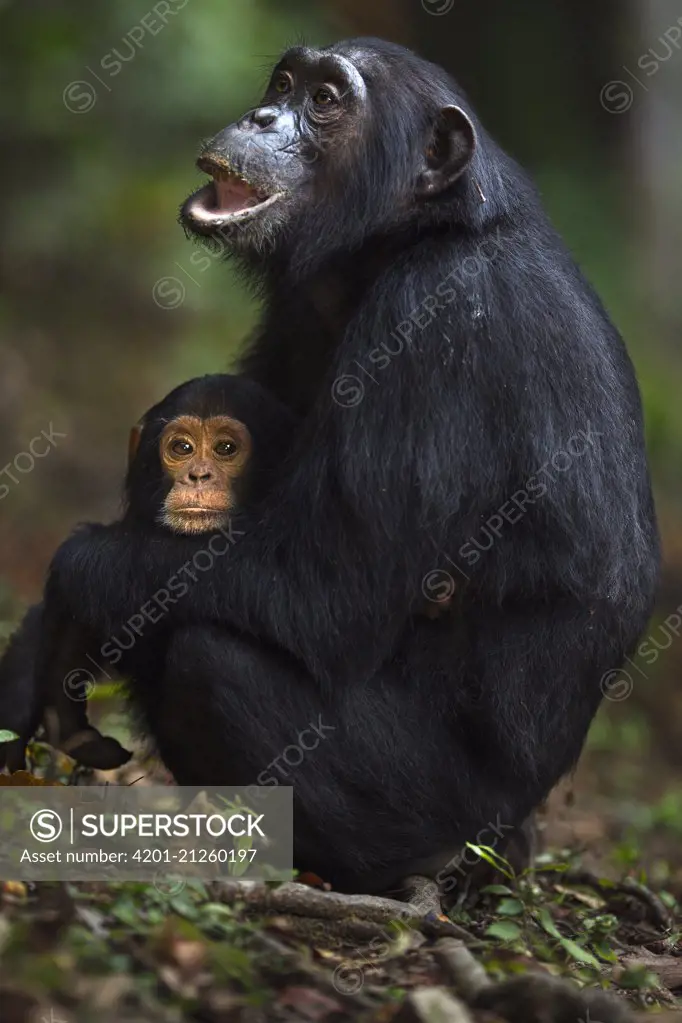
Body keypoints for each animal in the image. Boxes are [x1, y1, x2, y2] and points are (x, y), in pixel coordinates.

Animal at [30, 37, 654, 887]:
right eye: (284, 82)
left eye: (325, 101)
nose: (261, 115)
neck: (407, 236)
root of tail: (517, 837)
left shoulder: (436, 325)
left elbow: (324, 588)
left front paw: (69, 588)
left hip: (434, 804)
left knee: (208, 656)